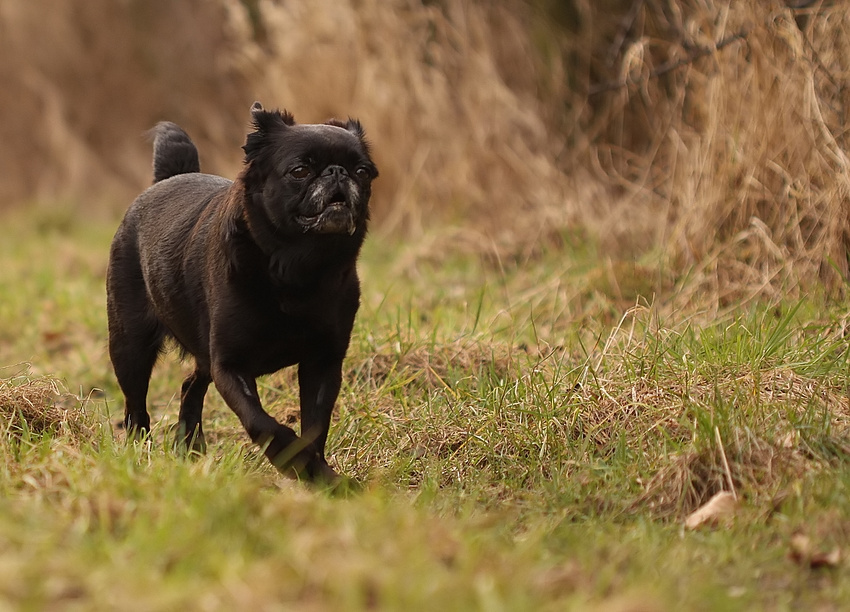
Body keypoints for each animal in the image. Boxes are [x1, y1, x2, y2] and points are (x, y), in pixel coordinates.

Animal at [104, 103, 376, 480]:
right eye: (300, 170)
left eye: (363, 172)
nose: (337, 172)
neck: (298, 267)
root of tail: (169, 178)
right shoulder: (231, 366)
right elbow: (263, 424)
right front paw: (295, 463)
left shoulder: (323, 364)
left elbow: (314, 427)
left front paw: (318, 474)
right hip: (130, 346)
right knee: (136, 408)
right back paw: (138, 452)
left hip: (201, 351)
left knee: (190, 386)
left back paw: (189, 446)